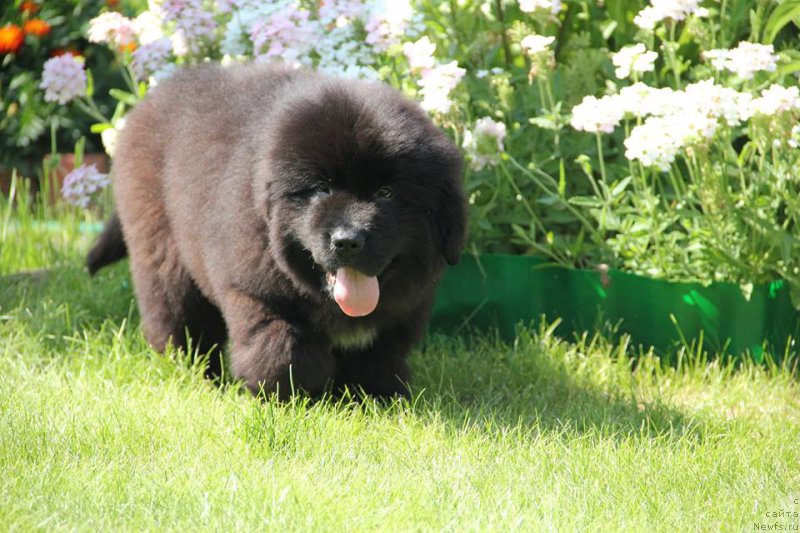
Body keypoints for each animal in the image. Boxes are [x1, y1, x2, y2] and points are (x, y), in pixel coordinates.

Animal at [88, 63, 466, 400]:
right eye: (322, 189)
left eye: (386, 193)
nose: (346, 241)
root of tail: (149, 101)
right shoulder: (255, 292)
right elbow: (283, 348)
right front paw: (291, 399)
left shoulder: (401, 312)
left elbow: (377, 357)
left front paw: (374, 398)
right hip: (164, 255)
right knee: (179, 322)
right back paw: (197, 376)